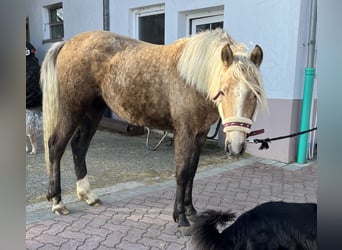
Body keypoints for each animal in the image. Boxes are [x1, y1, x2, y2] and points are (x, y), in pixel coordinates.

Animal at [40, 28, 268, 233]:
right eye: (223, 91)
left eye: (255, 94)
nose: (236, 147)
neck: (192, 79)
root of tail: (67, 43)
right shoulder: (184, 133)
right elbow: (182, 173)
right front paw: (181, 219)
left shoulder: (200, 135)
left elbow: (192, 172)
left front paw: (191, 210)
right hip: (72, 109)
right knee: (56, 145)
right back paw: (57, 201)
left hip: (94, 110)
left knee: (79, 146)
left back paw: (88, 195)